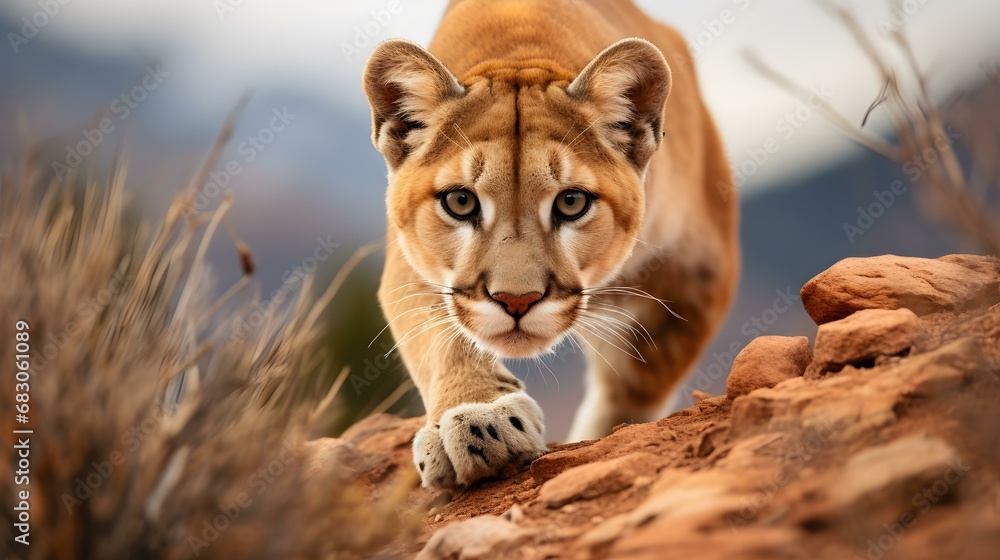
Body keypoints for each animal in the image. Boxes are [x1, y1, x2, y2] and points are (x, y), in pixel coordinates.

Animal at [362, 0, 738, 488]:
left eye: (571, 202)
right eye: (460, 201)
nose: (516, 300)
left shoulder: (694, 273)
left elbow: (635, 386)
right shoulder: (410, 261)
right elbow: (440, 335)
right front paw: (479, 417)